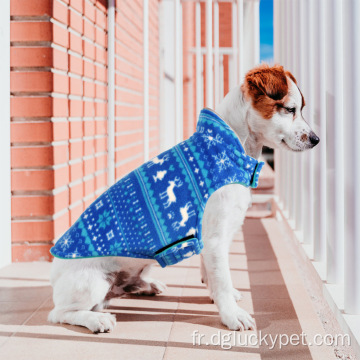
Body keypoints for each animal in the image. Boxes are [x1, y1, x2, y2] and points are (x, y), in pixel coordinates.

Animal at [48, 64, 320, 332]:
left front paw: (221, 296)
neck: (228, 148)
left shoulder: (218, 237)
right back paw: (96, 320)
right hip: (91, 283)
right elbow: (222, 278)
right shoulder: (215, 238)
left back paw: (146, 286)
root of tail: (54, 273)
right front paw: (232, 314)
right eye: (290, 109)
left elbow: (212, 274)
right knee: (61, 313)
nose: (317, 139)